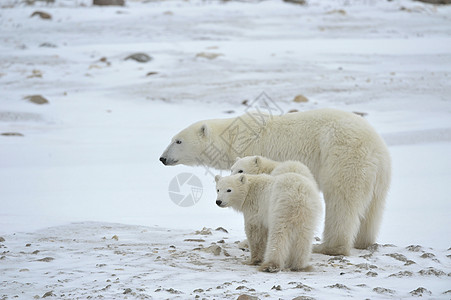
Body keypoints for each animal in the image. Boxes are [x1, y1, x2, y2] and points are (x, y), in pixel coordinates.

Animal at [161, 108, 390, 255]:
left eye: (178, 141)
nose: (162, 158)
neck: (233, 135)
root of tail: (376, 148)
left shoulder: (253, 150)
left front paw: (246, 242)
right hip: (380, 175)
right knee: (373, 208)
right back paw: (363, 241)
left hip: (343, 157)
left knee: (341, 201)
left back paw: (329, 246)